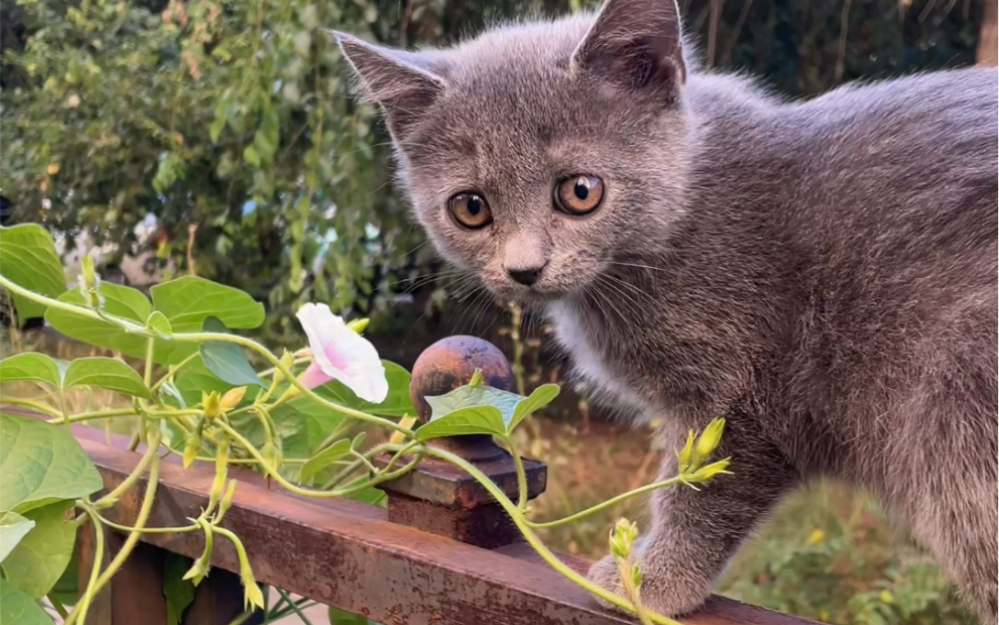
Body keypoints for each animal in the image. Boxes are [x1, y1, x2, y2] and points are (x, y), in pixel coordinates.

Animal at [338, 0, 999, 616]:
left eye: (580, 191)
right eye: (470, 207)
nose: (524, 269)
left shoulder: (742, 394)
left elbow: (703, 493)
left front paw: (650, 581)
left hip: (960, 417)